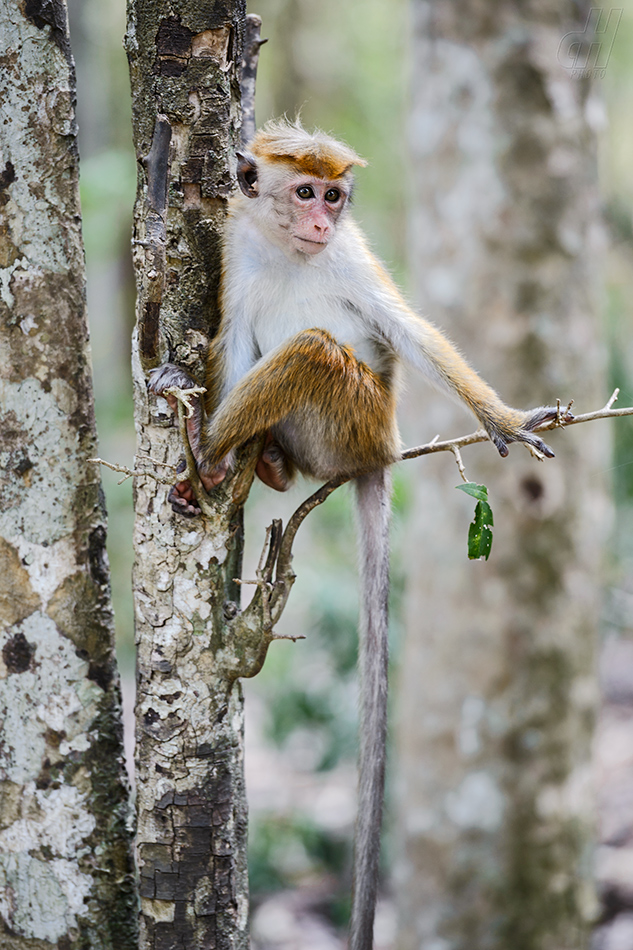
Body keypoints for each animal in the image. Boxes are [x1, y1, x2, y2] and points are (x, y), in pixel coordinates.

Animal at [148, 117, 564, 950]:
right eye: (305, 191)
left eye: (333, 198)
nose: (321, 220)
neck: (289, 250)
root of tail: (377, 452)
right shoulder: (239, 254)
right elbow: (232, 339)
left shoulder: (349, 256)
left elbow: (405, 329)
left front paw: (500, 417)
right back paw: (249, 463)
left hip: (356, 415)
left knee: (314, 349)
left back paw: (218, 457)